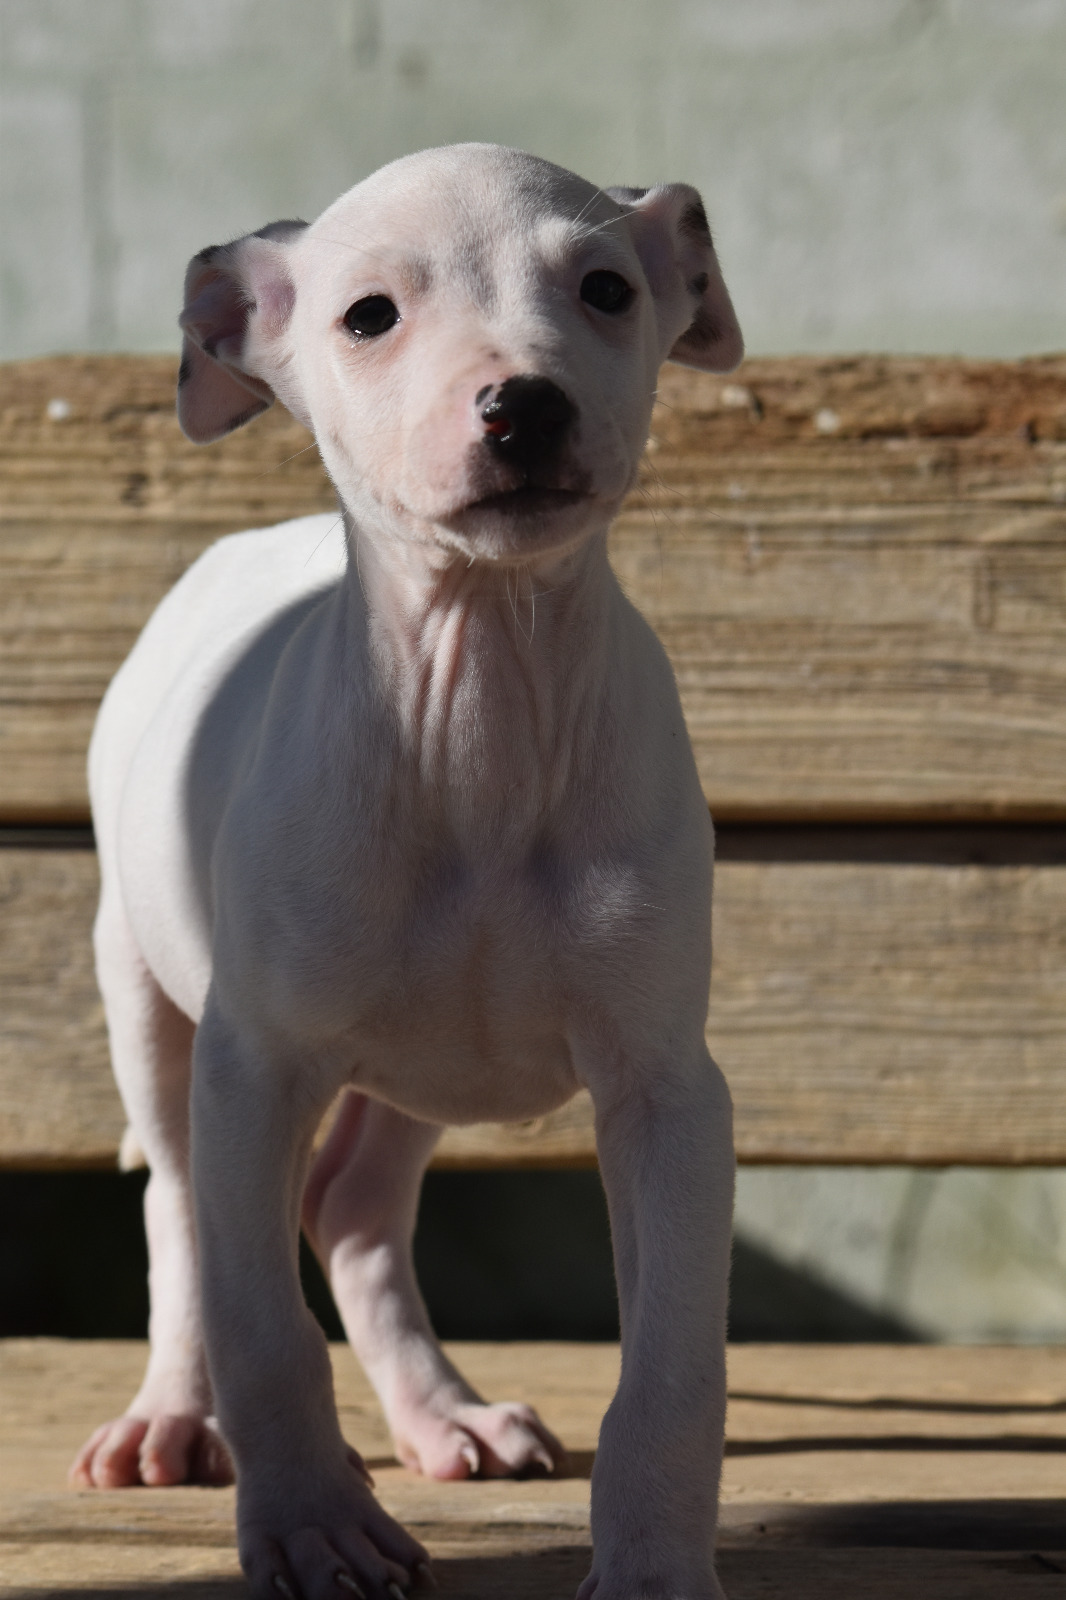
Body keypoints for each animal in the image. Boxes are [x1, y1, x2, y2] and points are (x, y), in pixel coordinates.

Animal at [71, 144, 741, 1600]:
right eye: (369, 315)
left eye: (607, 289)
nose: (523, 403)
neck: (478, 696)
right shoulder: (256, 1064)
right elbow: (259, 1321)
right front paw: (308, 1523)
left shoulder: (666, 1091)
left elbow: (672, 1368)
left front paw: (656, 1558)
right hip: (148, 1000)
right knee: (183, 1214)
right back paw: (173, 1416)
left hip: (425, 1059)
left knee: (355, 1208)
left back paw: (443, 1414)